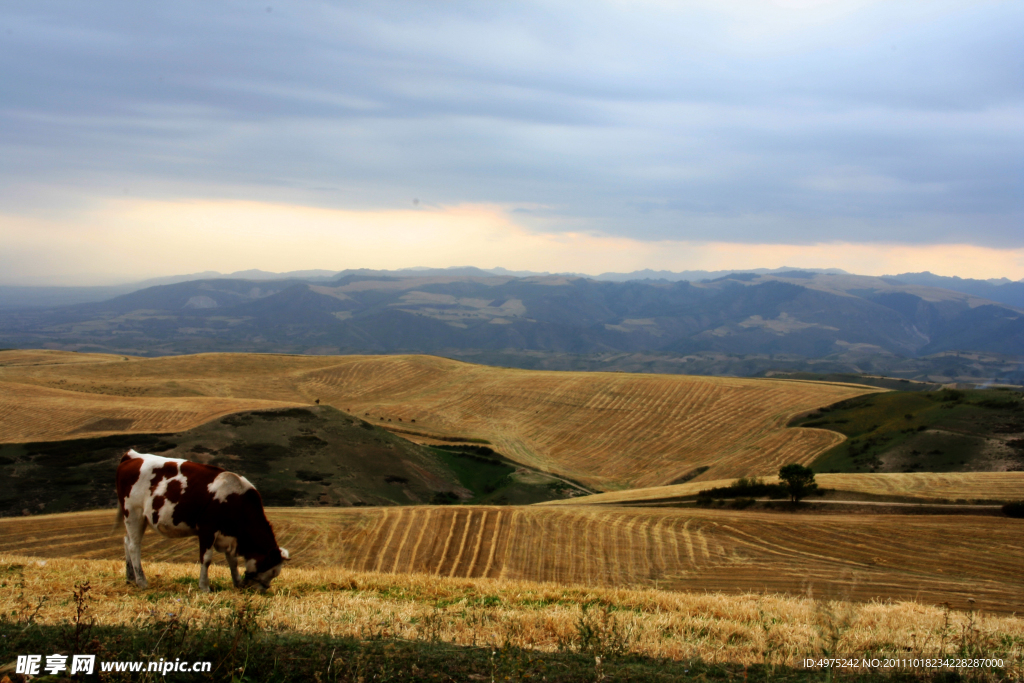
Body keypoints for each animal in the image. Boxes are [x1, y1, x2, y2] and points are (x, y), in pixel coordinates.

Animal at [117, 448, 290, 593]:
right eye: (270, 570)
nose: (261, 590)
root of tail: (133, 456)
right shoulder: (208, 528)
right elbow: (206, 559)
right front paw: (204, 587)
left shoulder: (230, 536)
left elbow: (232, 561)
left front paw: (237, 582)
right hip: (134, 513)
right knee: (134, 546)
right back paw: (141, 581)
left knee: (126, 541)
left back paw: (130, 578)